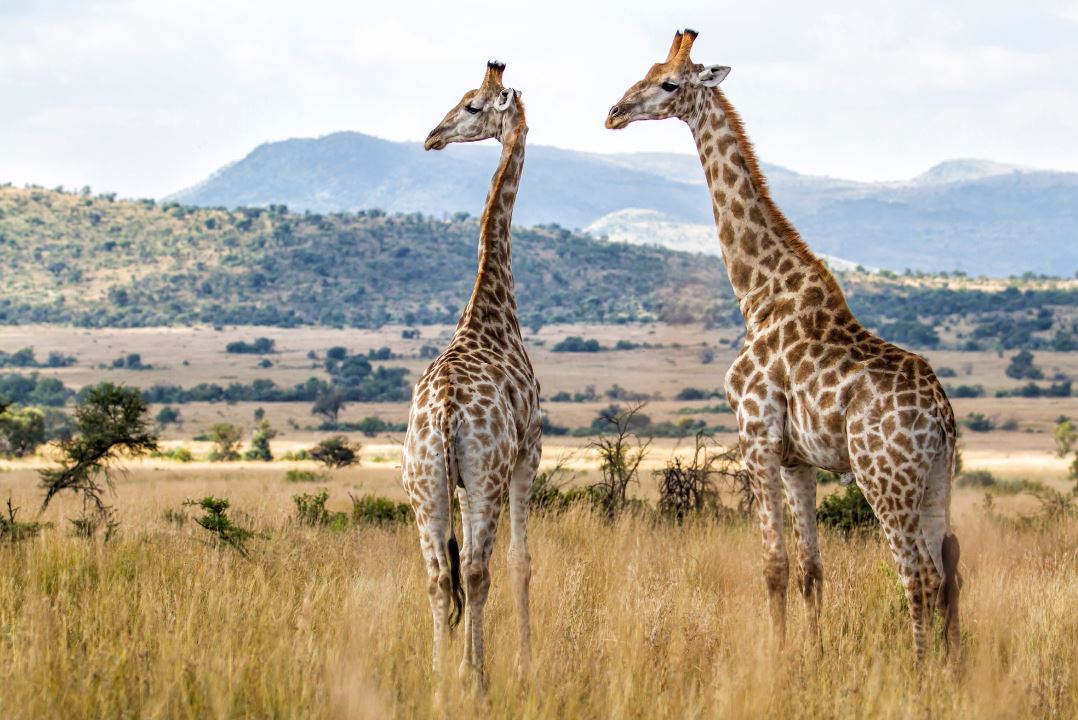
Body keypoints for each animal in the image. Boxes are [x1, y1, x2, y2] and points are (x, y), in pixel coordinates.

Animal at [606, 30, 961, 661]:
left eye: (669, 84)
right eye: (644, 70)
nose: (614, 112)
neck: (759, 292)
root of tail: (941, 417)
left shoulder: (757, 438)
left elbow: (772, 566)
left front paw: (774, 662)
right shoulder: (798, 458)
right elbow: (810, 570)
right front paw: (812, 657)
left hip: (884, 477)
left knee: (915, 573)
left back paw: (921, 671)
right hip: (938, 477)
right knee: (944, 572)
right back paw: (949, 669)